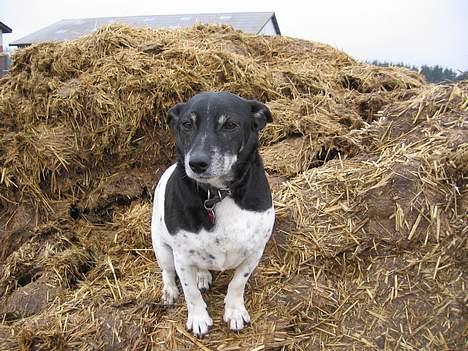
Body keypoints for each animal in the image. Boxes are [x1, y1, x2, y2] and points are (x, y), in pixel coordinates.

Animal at [151, 91, 274, 338]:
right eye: (187, 124)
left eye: (230, 125)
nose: (197, 163)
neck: (218, 194)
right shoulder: (182, 258)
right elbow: (190, 293)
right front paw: (199, 319)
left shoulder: (255, 251)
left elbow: (237, 283)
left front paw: (235, 312)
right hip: (162, 249)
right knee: (167, 272)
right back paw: (170, 290)